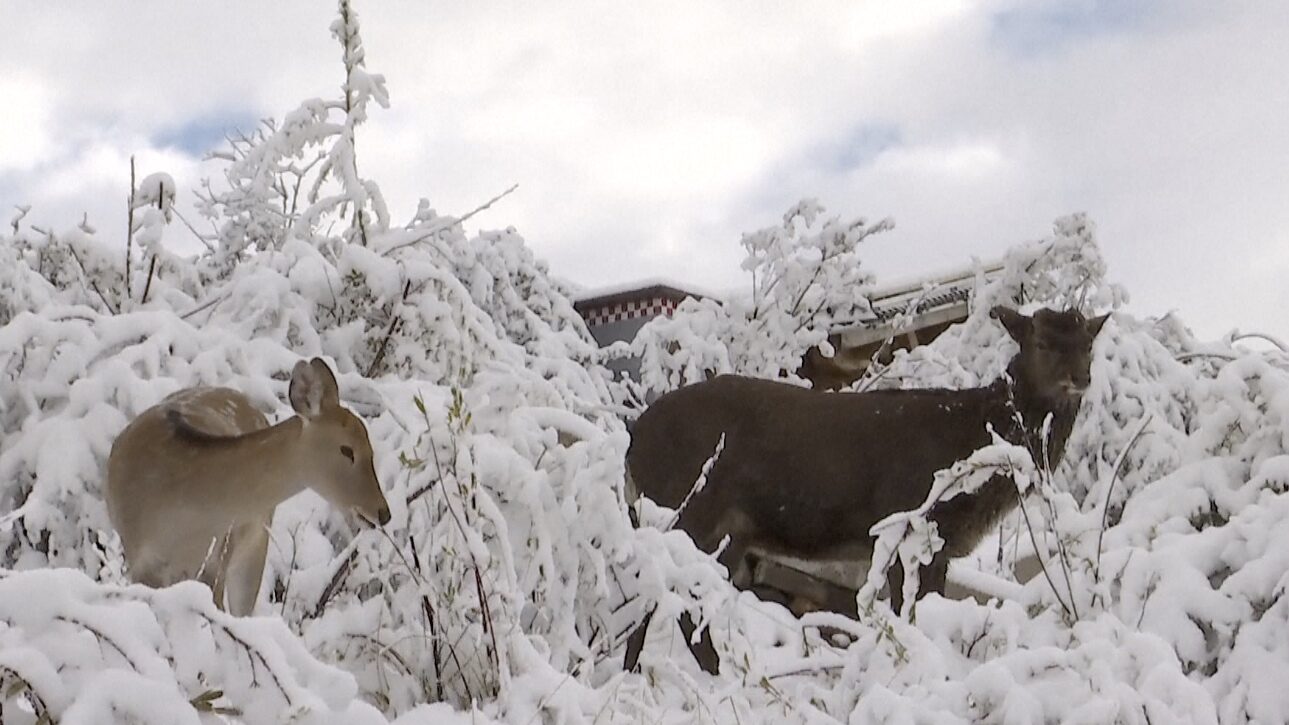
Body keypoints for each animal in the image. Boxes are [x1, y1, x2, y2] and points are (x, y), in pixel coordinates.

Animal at [621, 306, 1109, 674]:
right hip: (686, 509)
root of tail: (632, 441)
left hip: (726, 532)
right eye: (1041, 342)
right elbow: (909, 615)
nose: (1081, 378)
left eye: (1089, 344)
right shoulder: (910, 525)